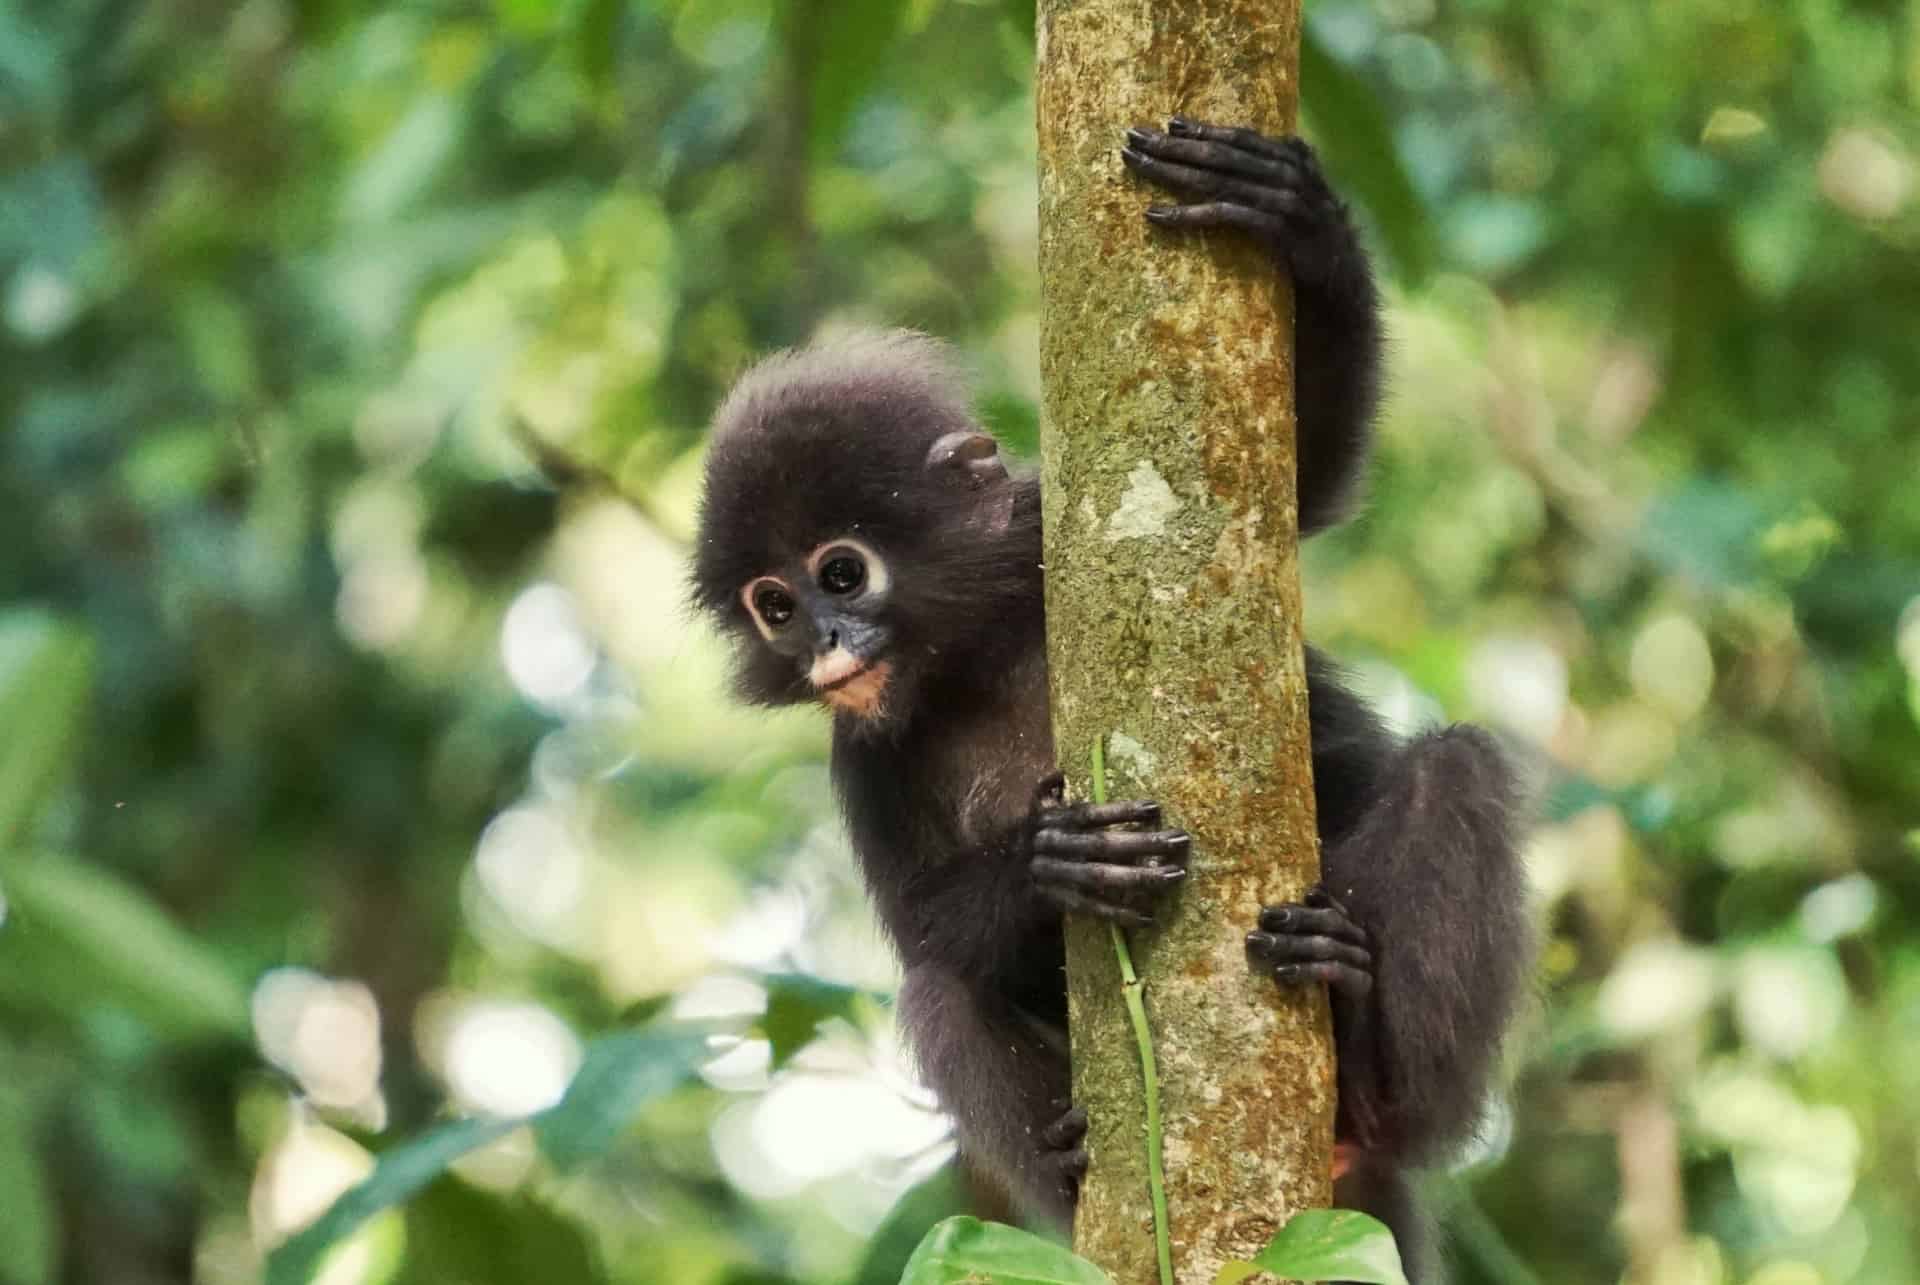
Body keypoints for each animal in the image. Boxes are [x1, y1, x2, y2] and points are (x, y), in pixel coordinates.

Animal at [695, 117, 1528, 1275]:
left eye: (842, 574)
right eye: (771, 602)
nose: (822, 643)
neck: (971, 656)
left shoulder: (1042, 545)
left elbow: (1302, 481)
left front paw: (1298, 221)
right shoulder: (862, 754)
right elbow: (921, 930)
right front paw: (1054, 860)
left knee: (1455, 769)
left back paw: (1366, 1037)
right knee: (937, 987)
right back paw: (1062, 1149)